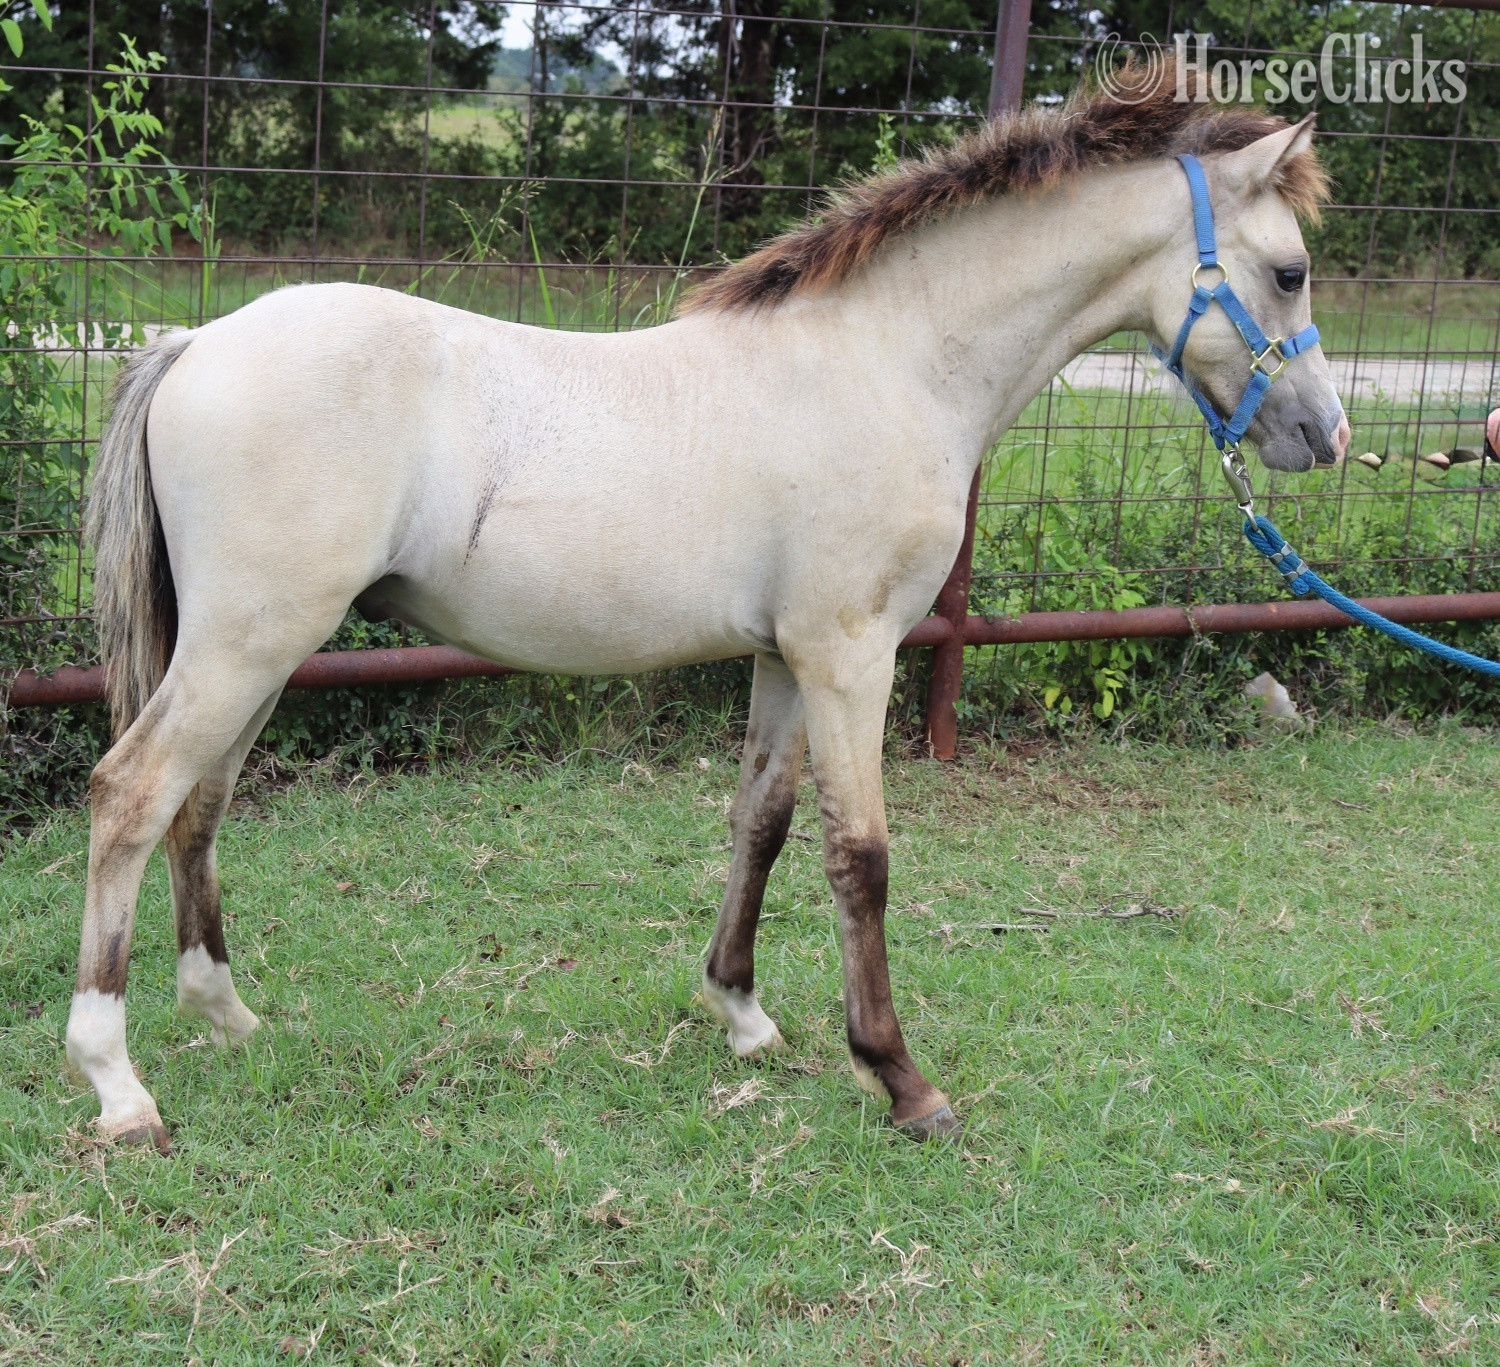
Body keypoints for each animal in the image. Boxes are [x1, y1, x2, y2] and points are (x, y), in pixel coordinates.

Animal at [68, 65, 1349, 1150]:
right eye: (1289, 270)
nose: (1324, 436)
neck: (889, 361)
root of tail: (195, 340)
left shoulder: (785, 657)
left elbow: (763, 823)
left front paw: (741, 1012)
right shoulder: (851, 654)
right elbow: (862, 854)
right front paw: (902, 1079)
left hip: (256, 647)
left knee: (199, 800)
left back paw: (226, 1015)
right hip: (250, 640)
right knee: (132, 792)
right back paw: (120, 1086)